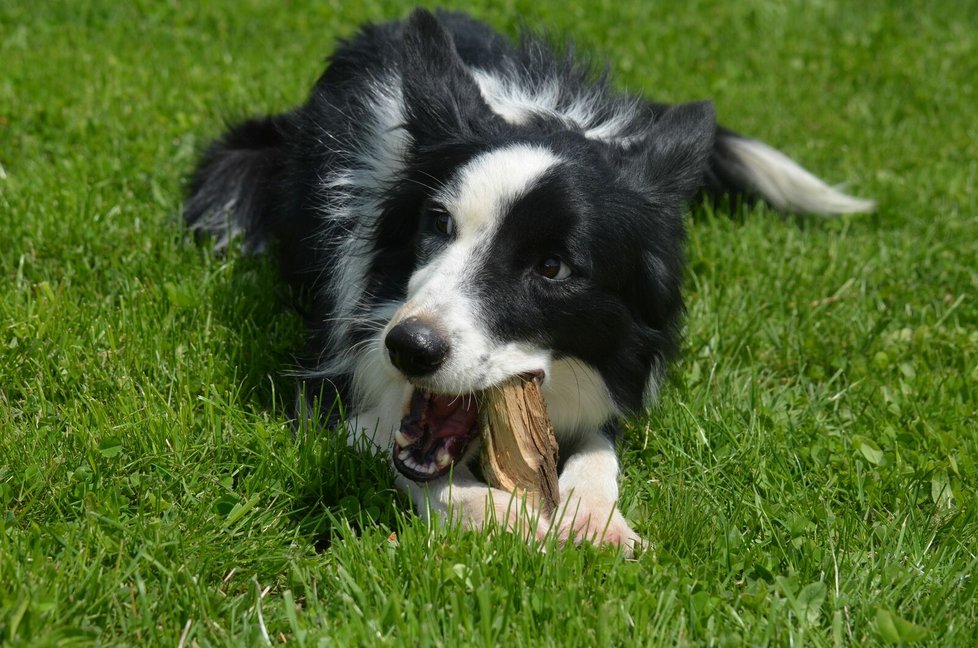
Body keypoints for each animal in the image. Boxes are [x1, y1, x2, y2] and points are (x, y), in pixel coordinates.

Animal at [183, 7, 868, 556]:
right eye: (439, 223)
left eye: (552, 268)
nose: (410, 348)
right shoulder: (328, 382)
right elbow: (399, 456)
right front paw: (507, 518)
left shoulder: (617, 362)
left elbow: (598, 445)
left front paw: (595, 519)